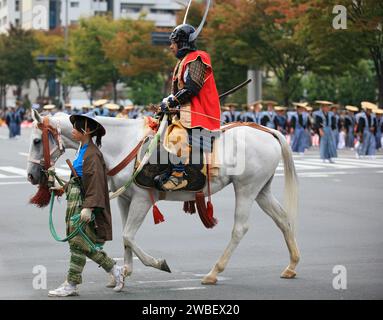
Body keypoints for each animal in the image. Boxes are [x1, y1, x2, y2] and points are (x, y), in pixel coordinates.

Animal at [27, 110, 302, 288]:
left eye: (37, 140)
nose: (31, 175)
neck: (123, 144)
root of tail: (267, 131)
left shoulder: (142, 200)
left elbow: (128, 235)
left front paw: (157, 263)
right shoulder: (125, 199)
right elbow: (126, 238)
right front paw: (124, 272)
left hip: (245, 188)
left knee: (240, 228)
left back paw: (214, 272)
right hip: (261, 189)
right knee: (283, 219)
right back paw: (291, 265)